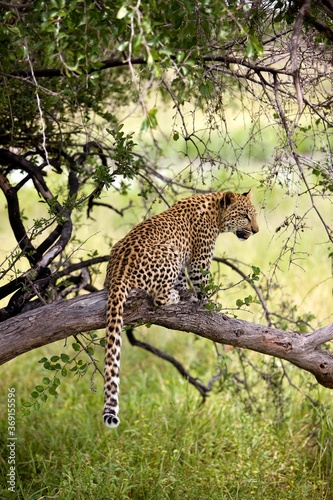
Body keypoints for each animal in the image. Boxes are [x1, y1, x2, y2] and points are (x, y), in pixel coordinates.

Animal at [102, 189, 258, 428]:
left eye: (254, 215)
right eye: (245, 216)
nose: (256, 231)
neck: (215, 211)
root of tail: (118, 274)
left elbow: (182, 281)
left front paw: (187, 293)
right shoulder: (199, 260)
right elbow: (202, 283)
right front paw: (209, 302)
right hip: (170, 252)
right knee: (158, 298)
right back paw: (174, 297)